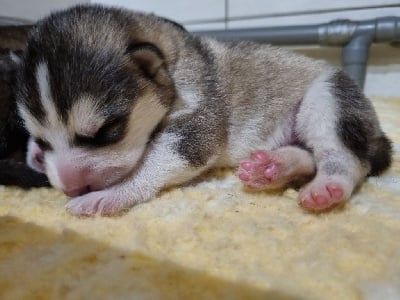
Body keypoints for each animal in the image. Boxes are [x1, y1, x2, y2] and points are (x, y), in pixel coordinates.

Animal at [14, 4, 390, 216]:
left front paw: (110, 195)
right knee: (307, 154)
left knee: (345, 157)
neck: (174, 57)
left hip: (329, 98)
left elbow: (160, 159)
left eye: (107, 131)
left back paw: (328, 186)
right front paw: (35, 155)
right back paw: (273, 168)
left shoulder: (197, 116)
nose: (70, 188)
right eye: (42, 139)